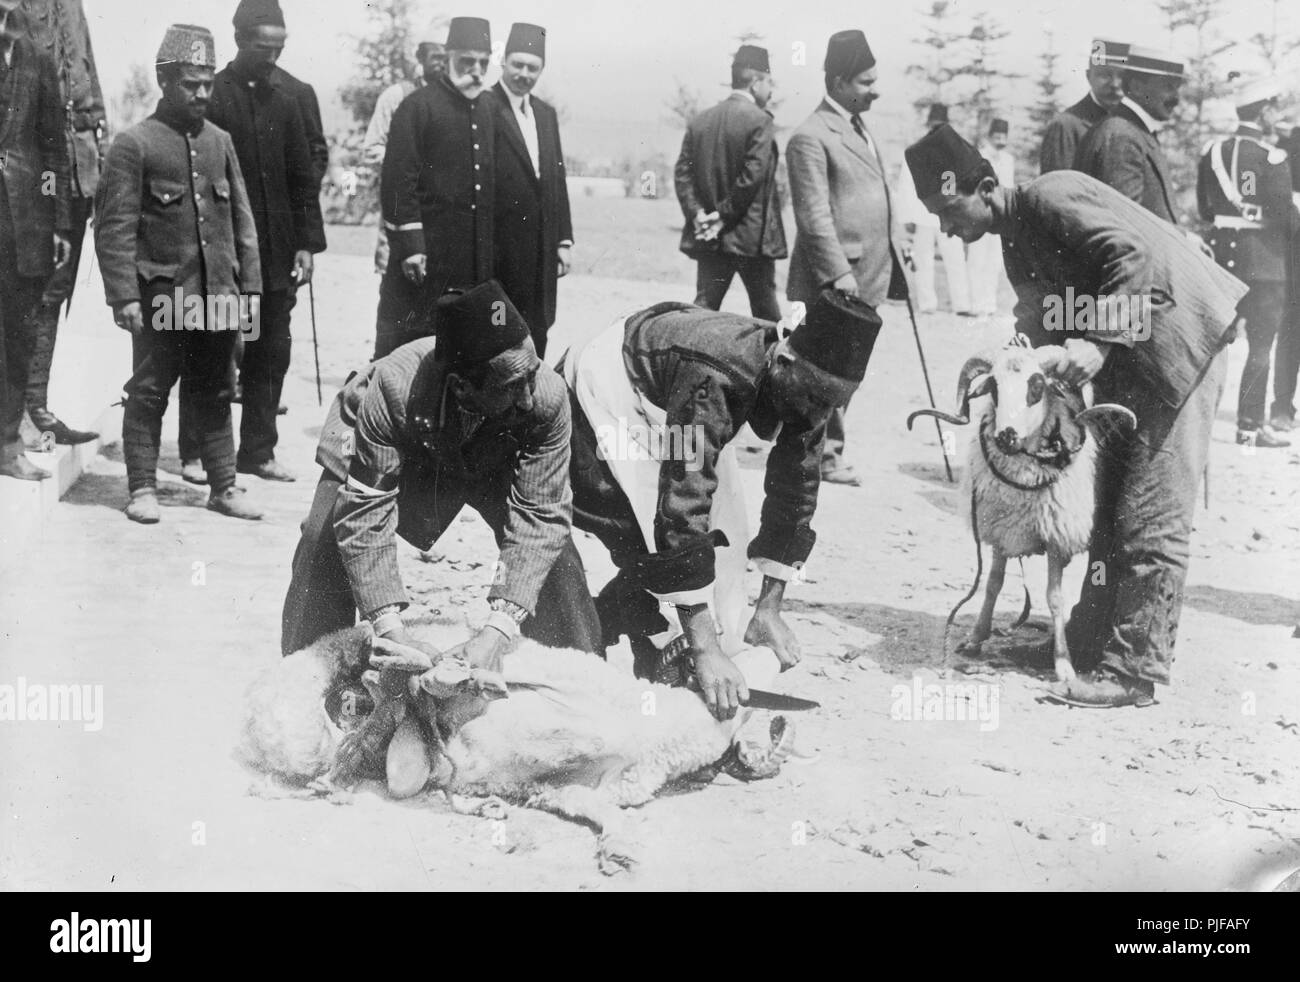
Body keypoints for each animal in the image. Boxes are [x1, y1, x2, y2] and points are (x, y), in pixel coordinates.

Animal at [909, 338, 1133, 681]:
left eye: (1037, 386)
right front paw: (976, 638)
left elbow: (1054, 599)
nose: (1006, 435)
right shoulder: (1001, 530)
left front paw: (1063, 664)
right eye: (993, 388)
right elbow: (992, 585)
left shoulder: (1057, 538)